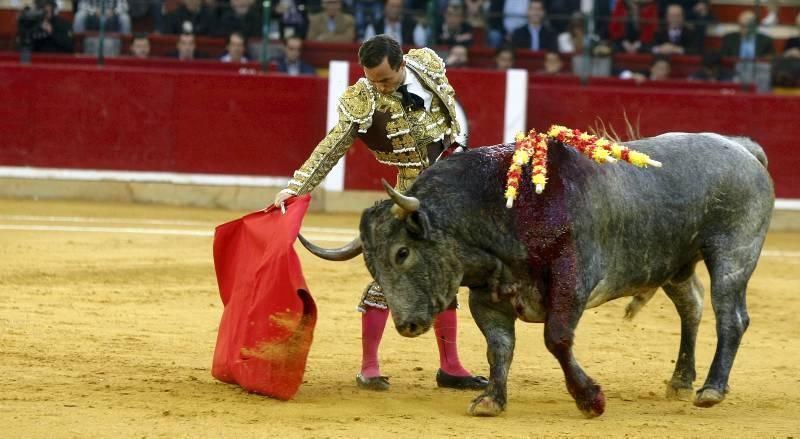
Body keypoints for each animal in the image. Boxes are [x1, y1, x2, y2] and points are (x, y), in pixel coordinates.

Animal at [300, 134, 776, 420]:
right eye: (371, 265)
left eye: (402, 253)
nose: (407, 324)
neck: (501, 209)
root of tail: (742, 148)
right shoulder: (487, 296)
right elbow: (499, 348)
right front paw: (491, 400)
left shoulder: (572, 282)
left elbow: (557, 338)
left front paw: (590, 398)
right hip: (674, 264)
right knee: (691, 306)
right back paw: (680, 381)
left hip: (732, 253)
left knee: (730, 317)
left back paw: (711, 389)